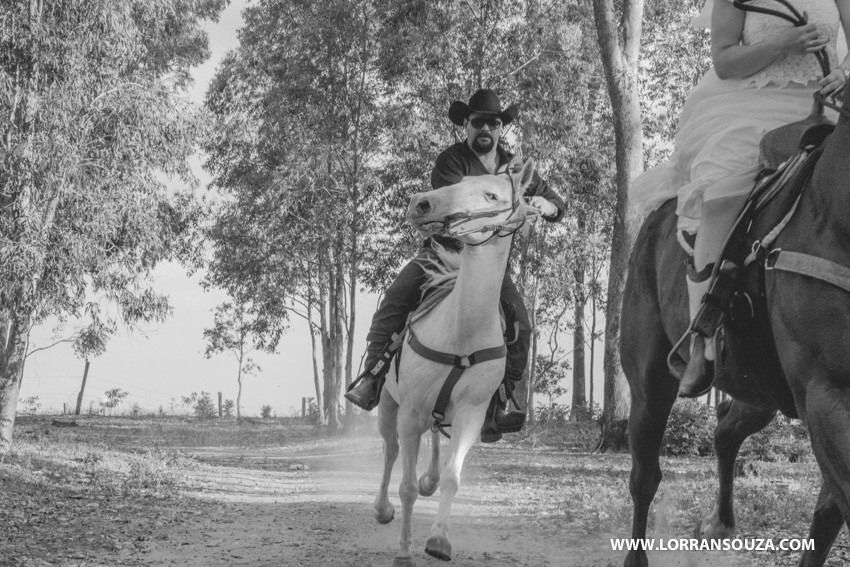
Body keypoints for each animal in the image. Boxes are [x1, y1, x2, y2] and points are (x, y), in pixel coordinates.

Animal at [372, 156, 532, 567]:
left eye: (491, 194)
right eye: (457, 181)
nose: (422, 204)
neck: (461, 333)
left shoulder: (471, 413)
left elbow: (451, 478)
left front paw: (439, 540)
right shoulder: (410, 411)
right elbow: (406, 487)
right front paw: (404, 552)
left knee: (432, 443)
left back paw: (427, 480)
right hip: (388, 405)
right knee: (390, 451)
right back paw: (381, 508)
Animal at [616, 82, 848, 564]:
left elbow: (828, 512)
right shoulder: (826, 393)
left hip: (759, 384)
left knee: (726, 427)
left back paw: (720, 521)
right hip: (649, 379)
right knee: (645, 475)